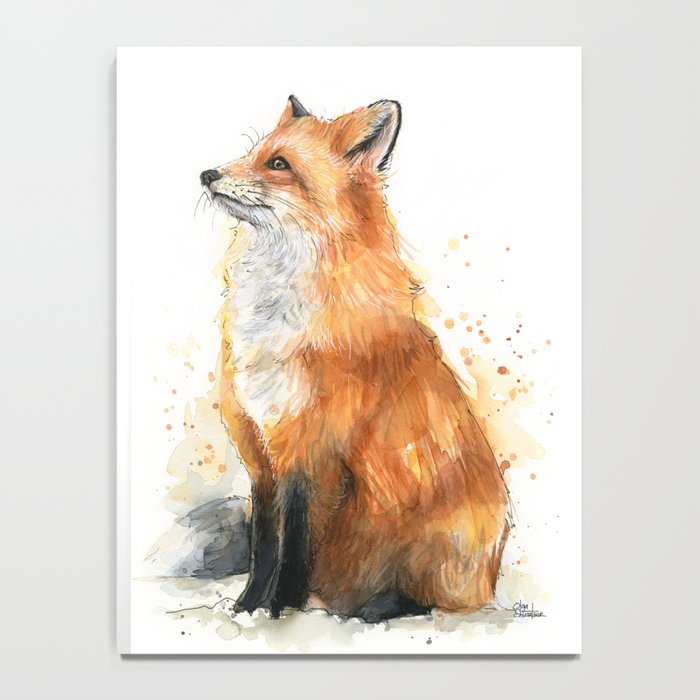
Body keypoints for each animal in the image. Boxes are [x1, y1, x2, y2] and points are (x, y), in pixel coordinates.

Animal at [200, 95, 511, 622]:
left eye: (278, 164)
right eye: (254, 154)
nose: (206, 174)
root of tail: (489, 582)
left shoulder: (313, 453)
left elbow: (294, 546)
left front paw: (280, 612)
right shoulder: (261, 454)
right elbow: (265, 546)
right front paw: (247, 609)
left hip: (445, 542)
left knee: (434, 603)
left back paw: (376, 608)